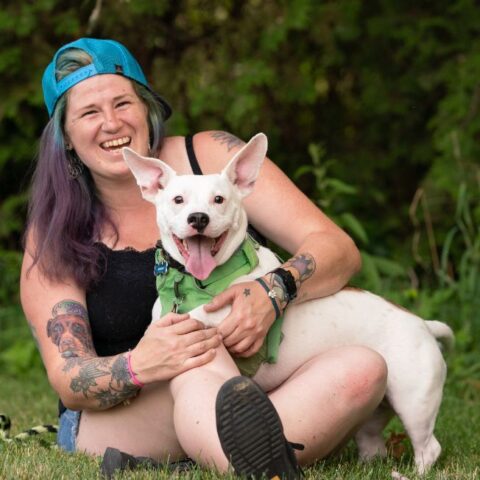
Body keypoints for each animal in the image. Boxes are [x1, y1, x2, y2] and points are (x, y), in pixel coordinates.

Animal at [122, 134, 453, 474]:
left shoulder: (224, 315)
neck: (199, 282)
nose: (198, 218)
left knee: (428, 447)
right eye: (178, 200)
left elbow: (194, 317)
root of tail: (422, 324)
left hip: (414, 401)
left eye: (219, 200)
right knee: (373, 444)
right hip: (377, 413)